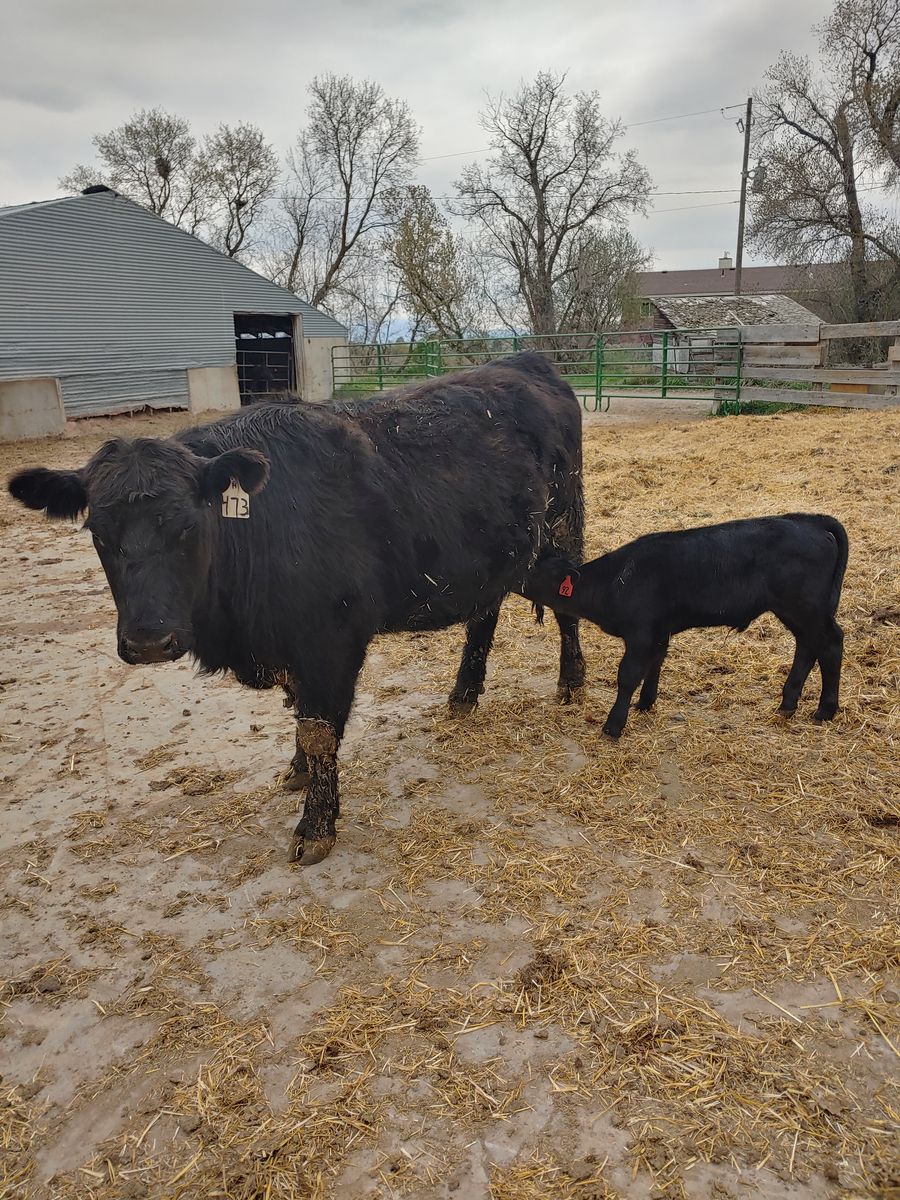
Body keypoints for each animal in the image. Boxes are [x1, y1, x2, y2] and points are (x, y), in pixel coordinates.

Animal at [8, 353, 585, 864]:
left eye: (189, 525)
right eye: (97, 532)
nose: (149, 641)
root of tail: (524, 361)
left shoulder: (332, 638)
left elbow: (319, 729)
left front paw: (316, 828)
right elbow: (301, 716)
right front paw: (298, 770)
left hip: (562, 531)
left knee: (567, 604)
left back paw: (571, 684)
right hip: (495, 558)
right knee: (484, 615)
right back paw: (464, 695)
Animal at [523, 514, 848, 739]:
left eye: (532, 569)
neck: (616, 581)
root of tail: (809, 521)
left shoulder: (641, 634)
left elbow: (628, 675)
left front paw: (613, 725)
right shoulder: (659, 631)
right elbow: (655, 664)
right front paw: (645, 704)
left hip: (805, 607)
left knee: (831, 644)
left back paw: (824, 710)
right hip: (795, 611)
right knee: (807, 647)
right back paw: (787, 705)